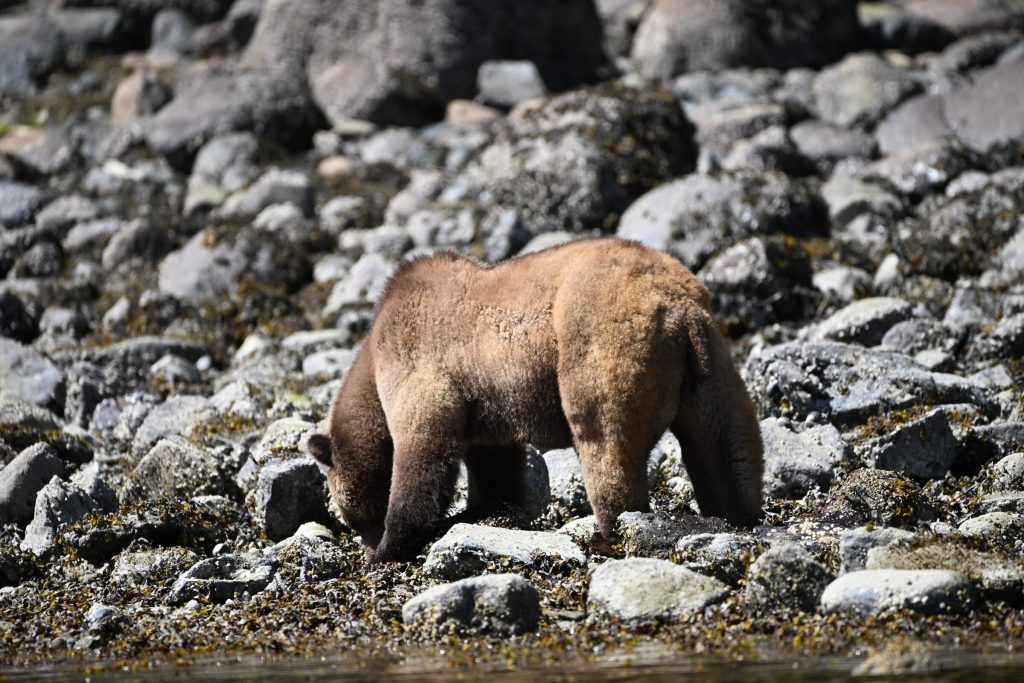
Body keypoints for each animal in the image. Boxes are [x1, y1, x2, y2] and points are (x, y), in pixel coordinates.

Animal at [307, 238, 764, 562]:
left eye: (350, 516)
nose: (366, 542)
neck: (371, 361)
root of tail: (676, 305)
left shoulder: (419, 360)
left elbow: (423, 449)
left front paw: (392, 546)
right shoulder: (483, 404)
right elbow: (496, 466)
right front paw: (486, 511)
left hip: (601, 344)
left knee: (606, 444)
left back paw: (609, 533)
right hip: (711, 364)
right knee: (725, 446)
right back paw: (738, 516)